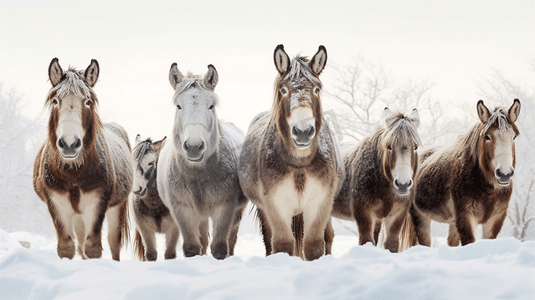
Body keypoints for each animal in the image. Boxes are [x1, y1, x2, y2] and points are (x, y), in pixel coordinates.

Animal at [33, 58, 133, 260]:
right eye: (55, 100)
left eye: (88, 101)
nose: (69, 144)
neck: (73, 173)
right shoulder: (57, 205)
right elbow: (66, 248)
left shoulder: (96, 205)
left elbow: (93, 248)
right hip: (77, 216)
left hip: (116, 207)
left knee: (113, 242)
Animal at [240, 44, 348, 260]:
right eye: (283, 89)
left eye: (317, 89)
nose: (303, 132)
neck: (300, 164)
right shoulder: (276, 204)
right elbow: (282, 245)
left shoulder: (319, 202)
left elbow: (314, 246)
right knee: (269, 239)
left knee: (329, 236)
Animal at [330, 106, 422, 252]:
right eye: (389, 146)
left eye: (415, 147)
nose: (403, 184)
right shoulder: (364, 214)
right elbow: (366, 241)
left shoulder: (397, 215)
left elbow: (391, 244)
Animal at [402, 99, 524, 247]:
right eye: (487, 137)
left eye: (514, 137)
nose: (504, 174)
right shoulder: (466, 217)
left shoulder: (495, 219)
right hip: (421, 217)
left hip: (453, 222)